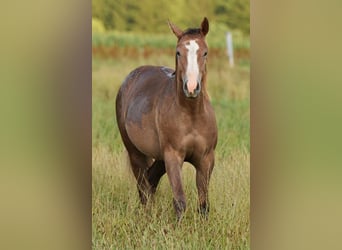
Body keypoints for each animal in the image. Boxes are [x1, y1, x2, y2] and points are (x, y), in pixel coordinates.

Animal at [115, 17, 216, 220]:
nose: (191, 87)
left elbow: (203, 205)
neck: (192, 115)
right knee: (143, 186)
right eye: (178, 52)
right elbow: (180, 201)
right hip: (135, 152)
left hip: (160, 157)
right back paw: (146, 217)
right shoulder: (173, 157)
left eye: (205, 52)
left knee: (150, 181)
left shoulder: (206, 160)